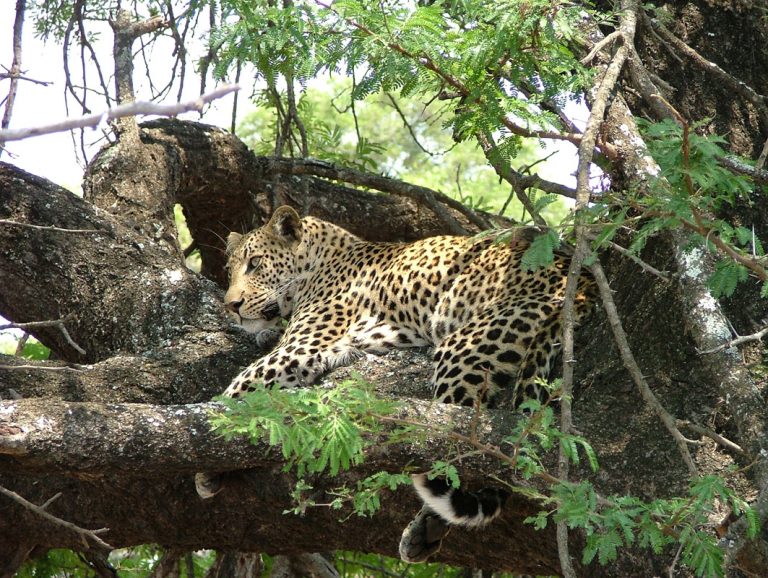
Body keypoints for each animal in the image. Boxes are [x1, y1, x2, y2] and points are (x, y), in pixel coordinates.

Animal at [195, 205, 596, 560]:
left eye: (255, 263)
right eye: (230, 271)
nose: (231, 305)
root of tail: (581, 284)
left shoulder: (301, 348)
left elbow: (237, 388)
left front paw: (205, 461)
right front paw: (262, 333)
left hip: (462, 349)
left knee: (461, 447)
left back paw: (425, 524)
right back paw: (423, 534)